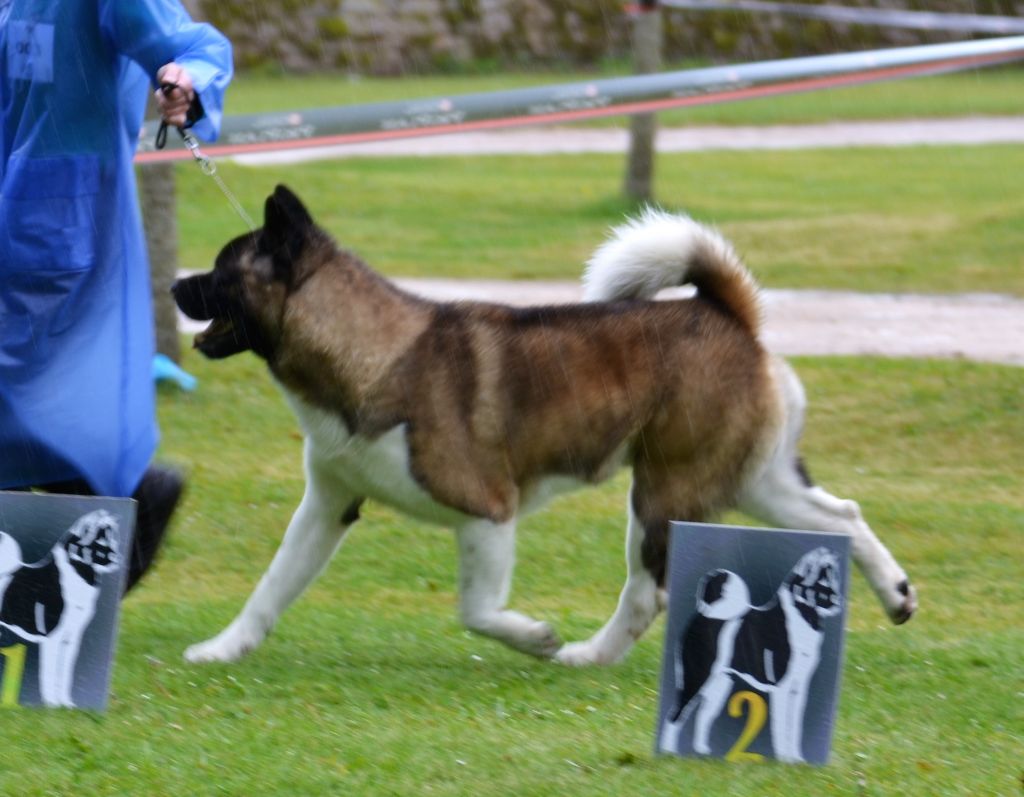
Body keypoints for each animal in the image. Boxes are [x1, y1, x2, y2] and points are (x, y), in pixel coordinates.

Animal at [172, 184, 917, 663]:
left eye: (223, 269)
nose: (176, 283)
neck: (373, 349)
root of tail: (723, 312)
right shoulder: (327, 506)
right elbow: (270, 586)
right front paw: (223, 648)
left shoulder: (487, 511)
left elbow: (475, 610)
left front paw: (534, 637)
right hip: (751, 481)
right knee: (842, 517)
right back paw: (897, 594)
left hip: (662, 496)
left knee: (646, 594)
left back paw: (586, 655)